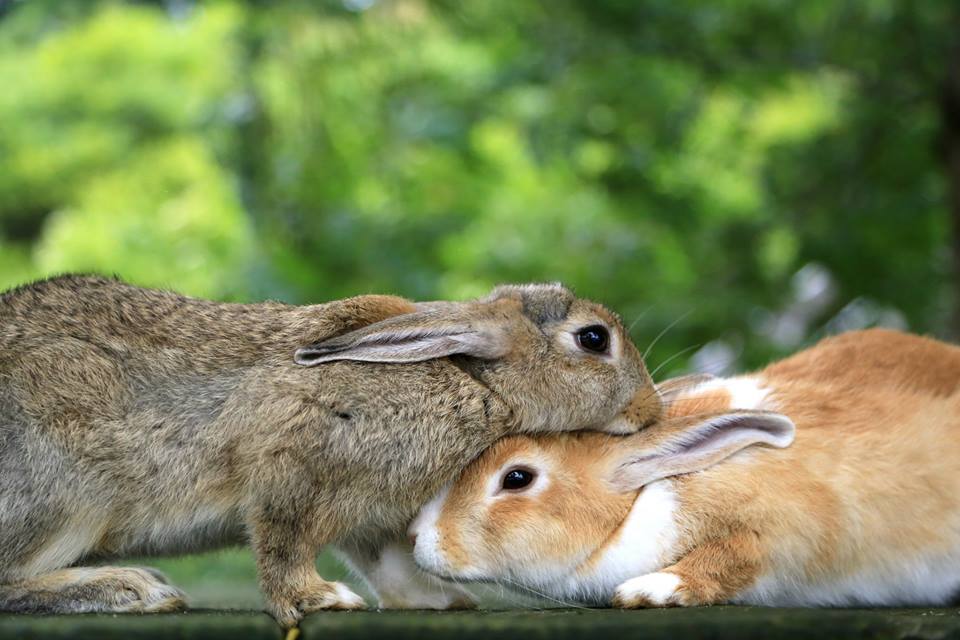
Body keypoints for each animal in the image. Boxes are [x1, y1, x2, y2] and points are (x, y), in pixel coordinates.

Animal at [0, 274, 661, 627]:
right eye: (593, 339)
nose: (649, 410)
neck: (478, 382)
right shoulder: (299, 459)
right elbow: (285, 539)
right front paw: (317, 599)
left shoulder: (372, 512)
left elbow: (386, 561)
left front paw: (438, 601)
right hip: (60, 491)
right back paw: (135, 589)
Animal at [409, 328, 960, 609]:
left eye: (518, 478)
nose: (418, 536)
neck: (643, 496)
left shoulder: (788, 530)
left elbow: (732, 556)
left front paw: (650, 589)